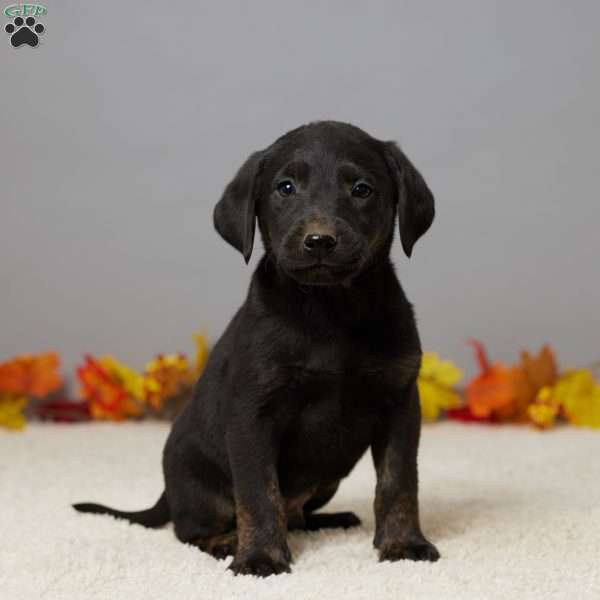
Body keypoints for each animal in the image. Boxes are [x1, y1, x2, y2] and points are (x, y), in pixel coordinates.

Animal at [76, 120, 440, 576]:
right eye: (285, 188)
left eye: (362, 189)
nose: (320, 241)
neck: (330, 311)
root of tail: (167, 493)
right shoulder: (253, 413)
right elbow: (258, 494)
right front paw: (260, 557)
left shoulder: (399, 404)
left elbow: (399, 482)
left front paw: (403, 544)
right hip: (201, 483)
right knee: (191, 529)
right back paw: (225, 541)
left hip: (327, 479)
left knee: (296, 512)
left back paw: (329, 518)